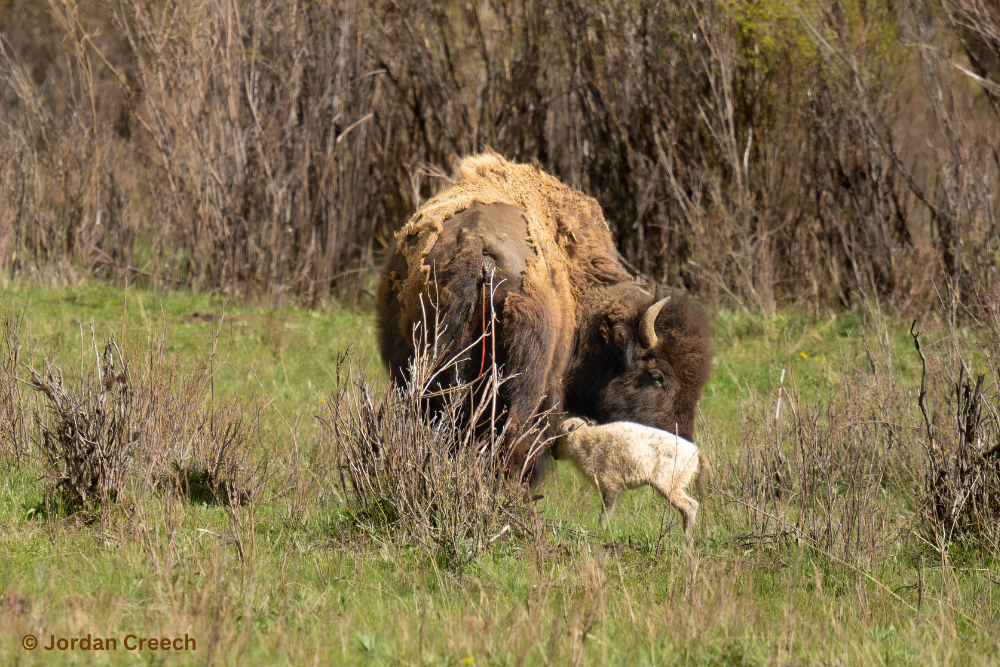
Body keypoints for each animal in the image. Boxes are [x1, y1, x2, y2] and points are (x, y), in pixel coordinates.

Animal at [556, 420, 712, 552]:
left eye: (558, 436)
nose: (553, 452)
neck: (587, 442)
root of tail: (697, 452)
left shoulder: (609, 484)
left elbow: (605, 513)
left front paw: (601, 531)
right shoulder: (616, 490)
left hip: (667, 483)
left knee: (690, 506)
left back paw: (687, 544)